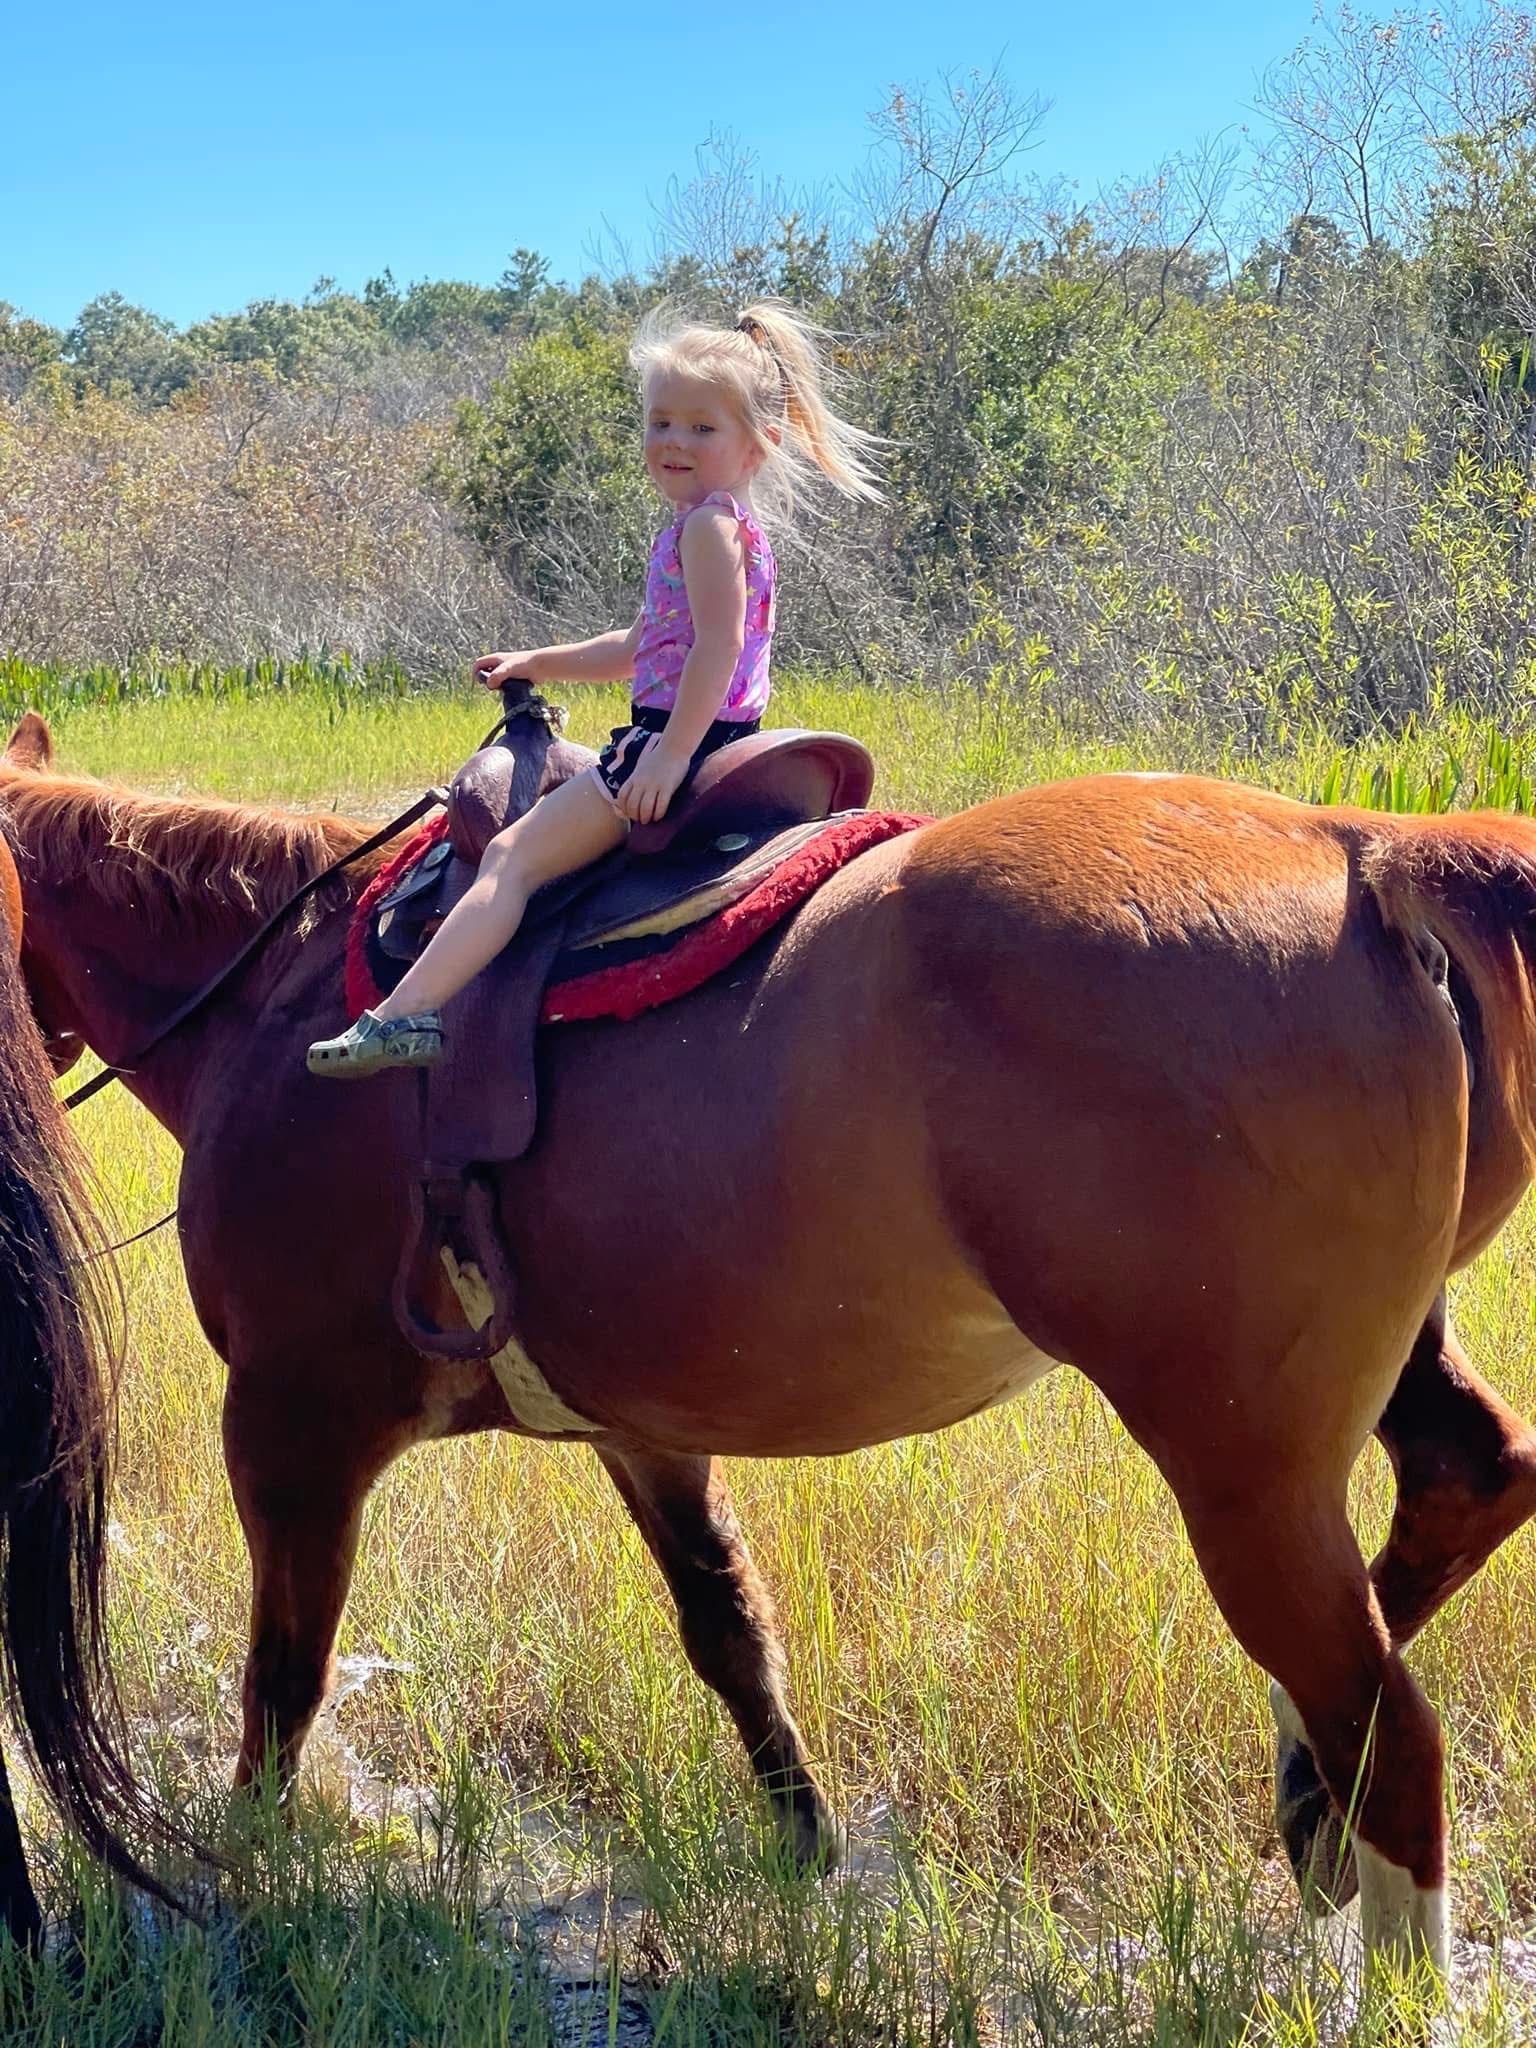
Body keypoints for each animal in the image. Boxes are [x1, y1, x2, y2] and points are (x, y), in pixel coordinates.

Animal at [6, 710, 1536, 1992]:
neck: (274, 1010)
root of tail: (1362, 847)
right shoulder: (643, 1428)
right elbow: (728, 1627)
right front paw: (804, 1846)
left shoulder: (291, 1424)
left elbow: (283, 1681)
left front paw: (247, 1879)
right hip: (1362, 1401)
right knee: (1470, 1481)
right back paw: (1304, 1792)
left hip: (1242, 1471)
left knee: (1395, 1734)